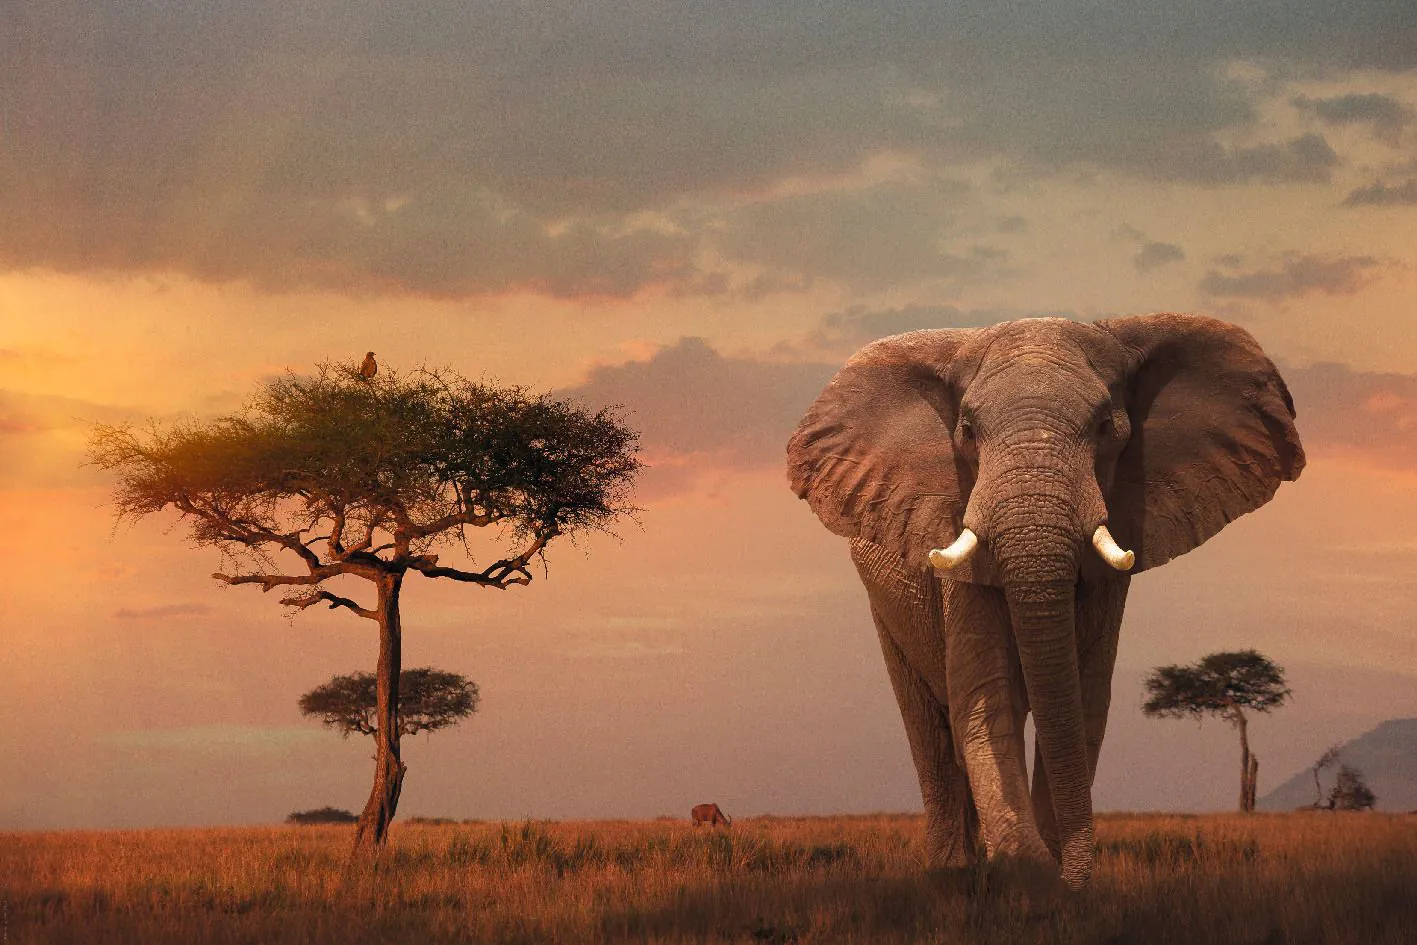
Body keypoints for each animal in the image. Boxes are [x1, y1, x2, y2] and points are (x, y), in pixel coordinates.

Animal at [786, 314, 1303, 889]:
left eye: (1105, 428)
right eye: (967, 430)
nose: (1068, 878)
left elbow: (1083, 698)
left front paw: (1052, 880)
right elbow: (987, 692)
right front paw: (1023, 869)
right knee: (930, 727)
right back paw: (953, 873)